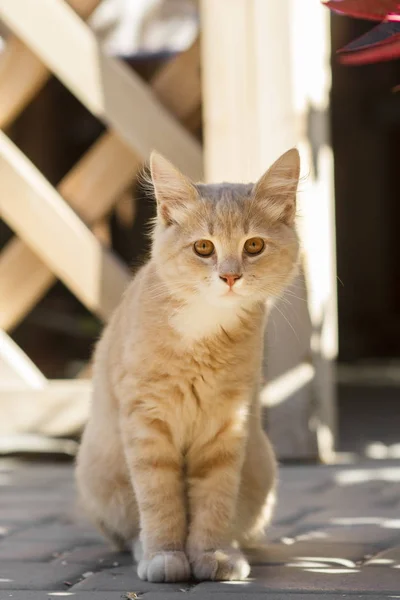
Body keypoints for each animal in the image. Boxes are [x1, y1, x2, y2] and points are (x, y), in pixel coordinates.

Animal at [75, 148, 300, 584]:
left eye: (254, 245)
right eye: (203, 248)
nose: (230, 276)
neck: (204, 330)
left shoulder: (228, 423)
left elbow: (215, 499)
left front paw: (211, 553)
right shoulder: (146, 421)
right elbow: (159, 498)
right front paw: (164, 554)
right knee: (125, 531)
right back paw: (141, 547)